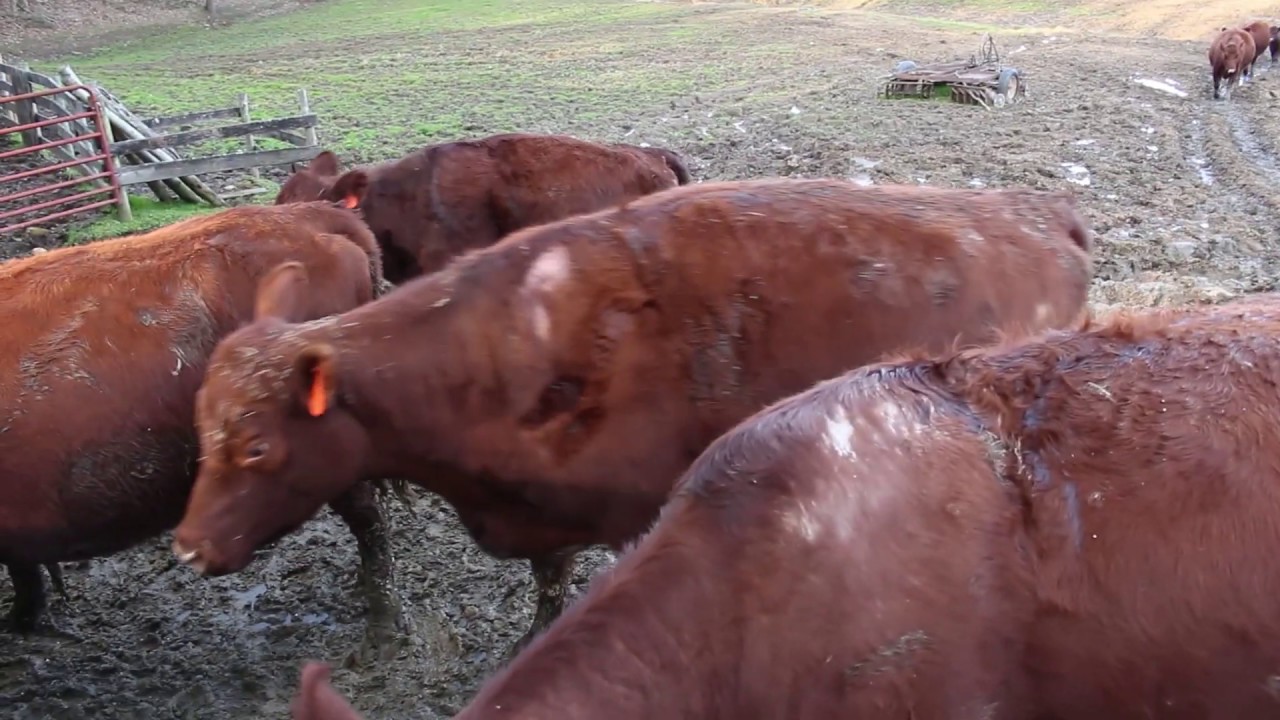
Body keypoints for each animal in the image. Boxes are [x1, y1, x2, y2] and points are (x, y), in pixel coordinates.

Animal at [172, 178, 1095, 658]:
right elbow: (548, 585)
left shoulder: (632, 510)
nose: (185, 547)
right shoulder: (544, 513)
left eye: (255, 446)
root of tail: (1034, 211)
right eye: (199, 432)